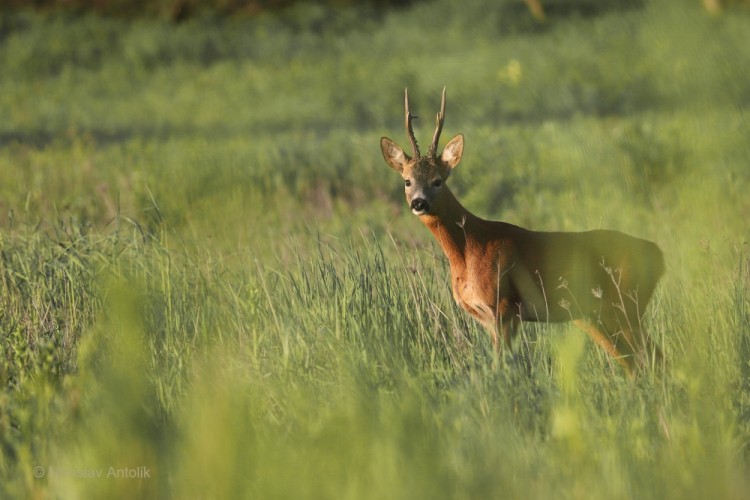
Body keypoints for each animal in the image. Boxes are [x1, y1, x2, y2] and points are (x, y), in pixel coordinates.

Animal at [382, 88, 664, 376]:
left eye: (437, 180)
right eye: (407, 181)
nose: (419, 203)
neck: (468, 248)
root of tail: (658, 254)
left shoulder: (505, 305)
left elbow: (503, 366)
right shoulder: (487, 317)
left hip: (625, 304)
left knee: (653, 358)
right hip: (595, 316)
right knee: (636, 363)